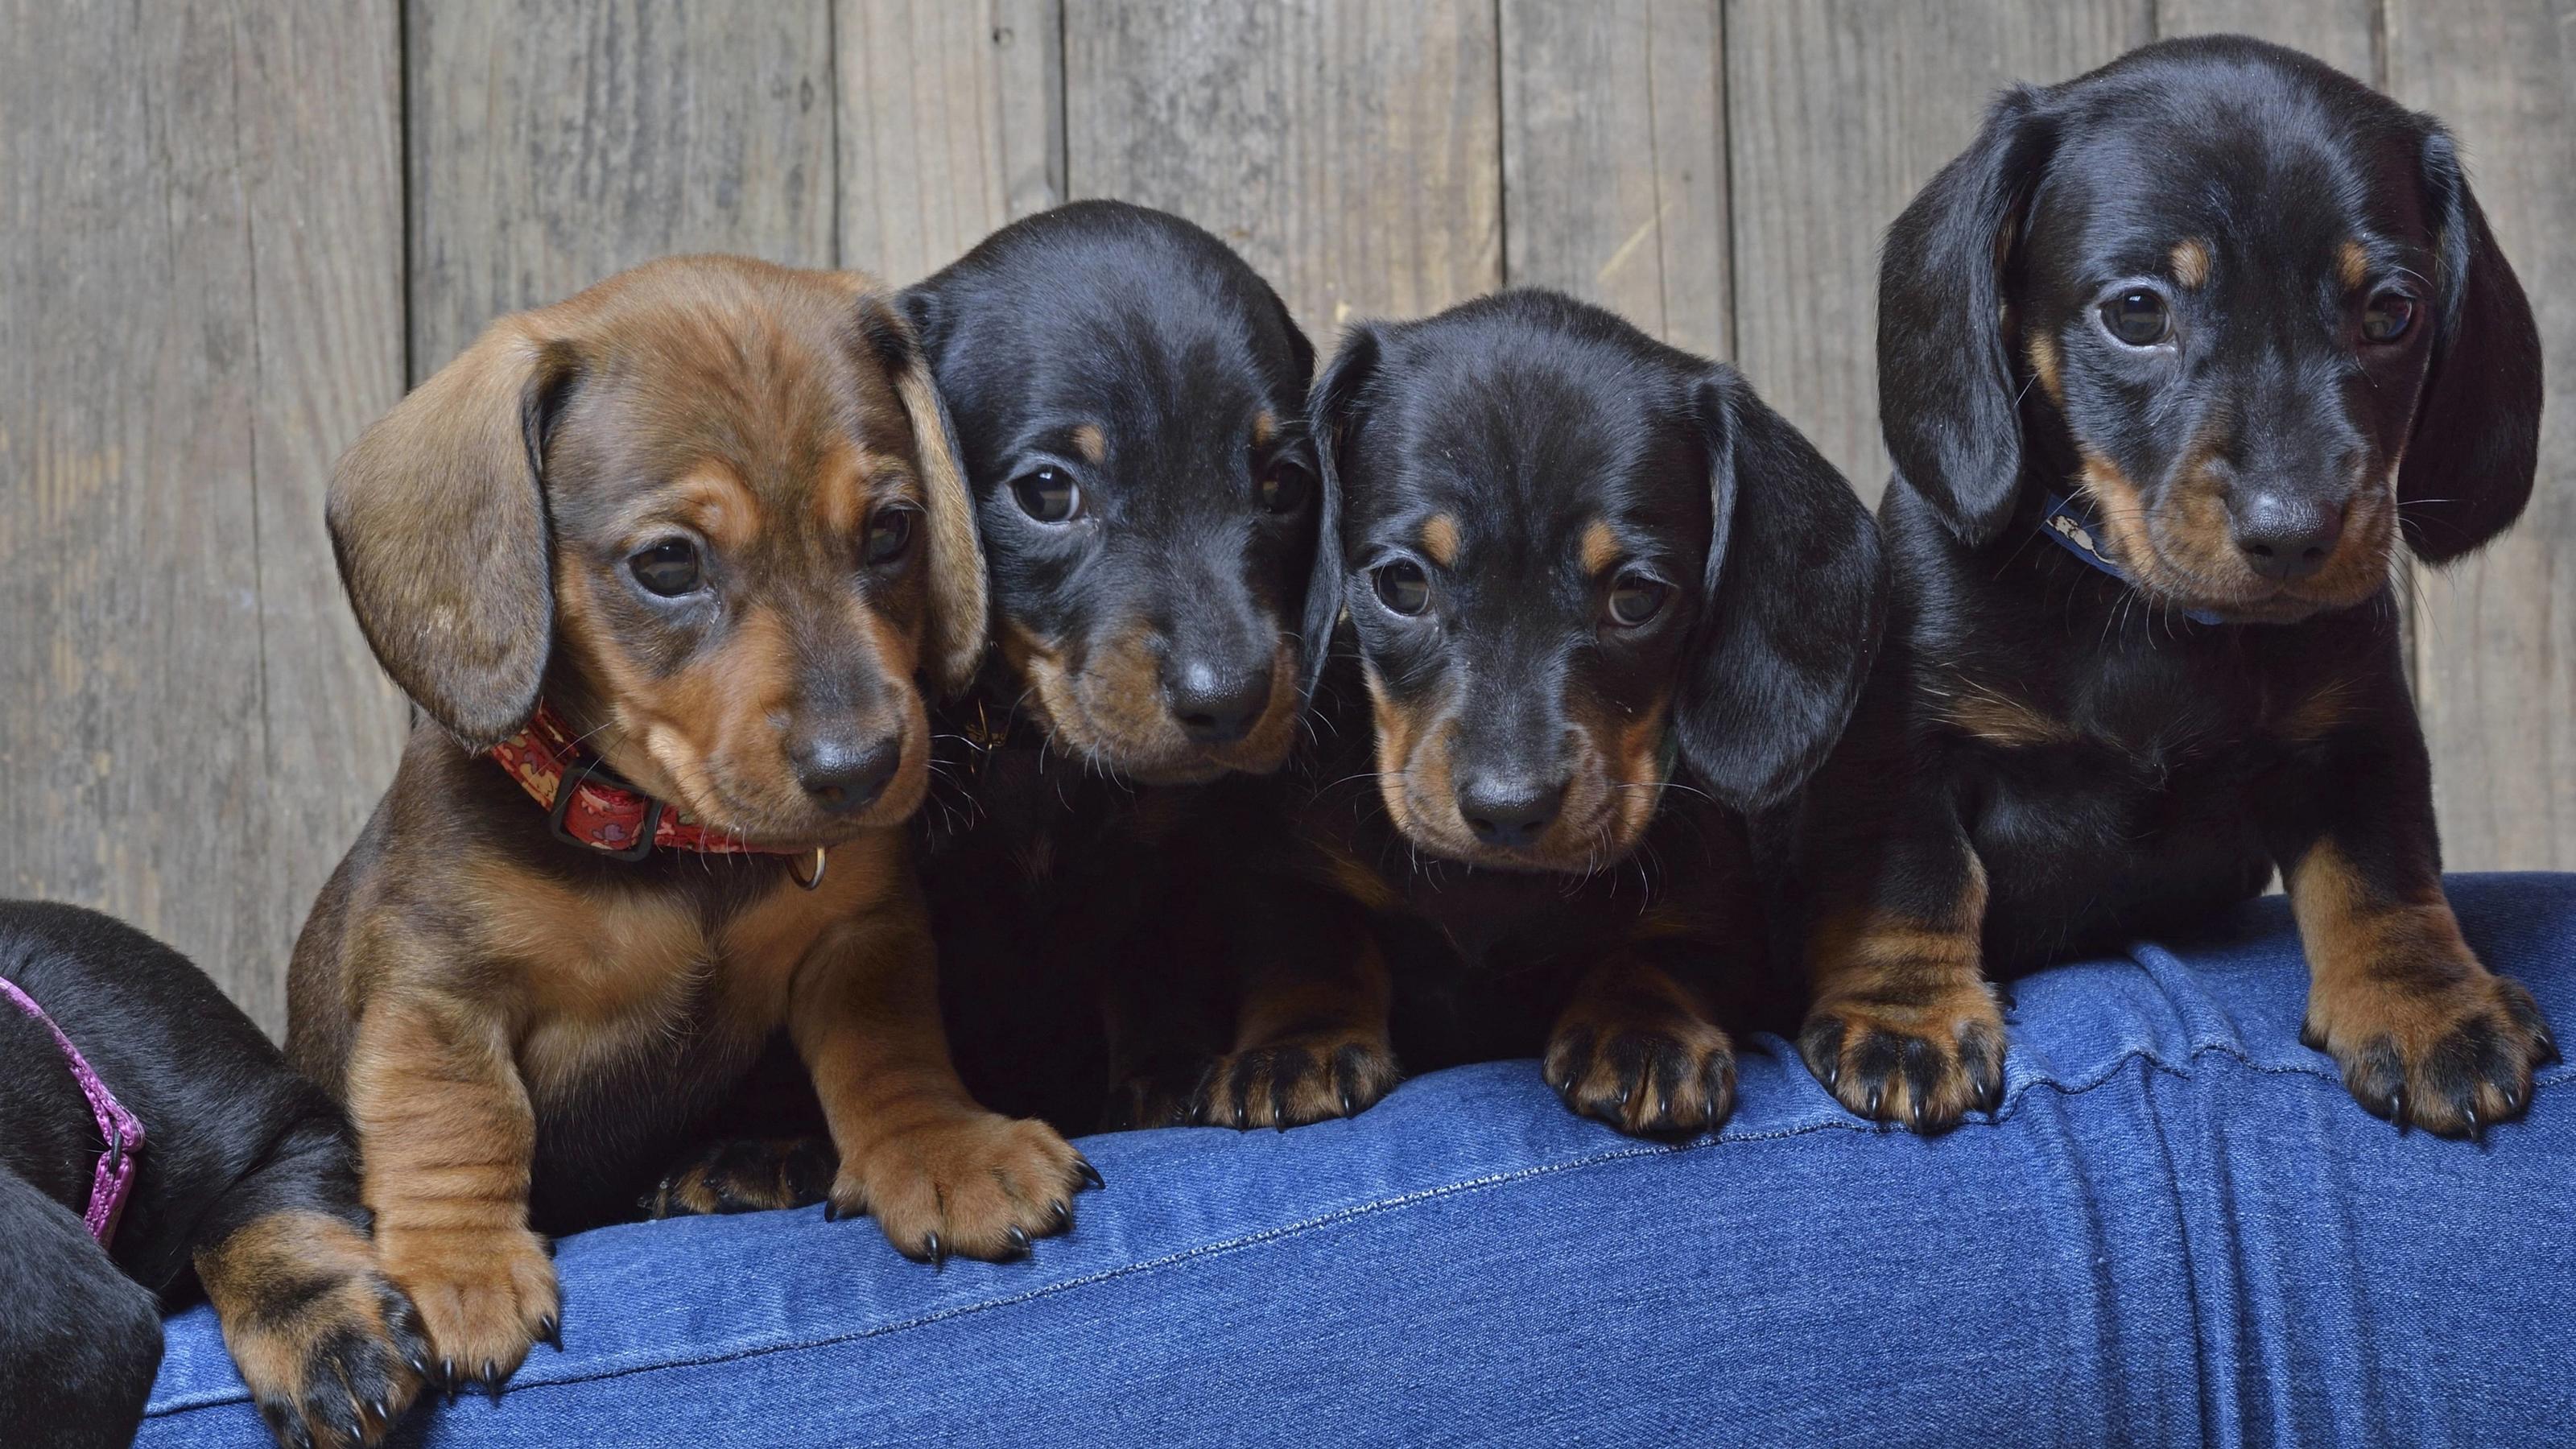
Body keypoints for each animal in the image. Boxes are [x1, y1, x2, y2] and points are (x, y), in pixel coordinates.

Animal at [295, 256, 1097, 1402]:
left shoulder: (857, 939)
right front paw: (460, 1265)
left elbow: (889, 1049)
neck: (674, 847)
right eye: (669, 565)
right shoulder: (436, 994)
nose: (860, 770)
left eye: (891, 529)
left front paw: (942, 1147)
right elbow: (457, 1118)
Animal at [1174, 287, 1896, 1134]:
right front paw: (1299, 1045)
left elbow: (1660, 953)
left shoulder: (1719, 912)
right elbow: (1313, 945)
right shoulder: (1290, 881)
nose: (1508, 810)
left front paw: (1640, 1033)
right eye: (1402, 584)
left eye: (1637, 596)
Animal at [1793, 34, 2555, 1134]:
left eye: (2390, 312)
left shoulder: (2357, 730)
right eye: (2136, 311)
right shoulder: (1909, 743)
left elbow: (2382, 870)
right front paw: (1904, 1014)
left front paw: (2425, 1007)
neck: (2143, 615)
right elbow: (1913, 872)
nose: (2293, 534)